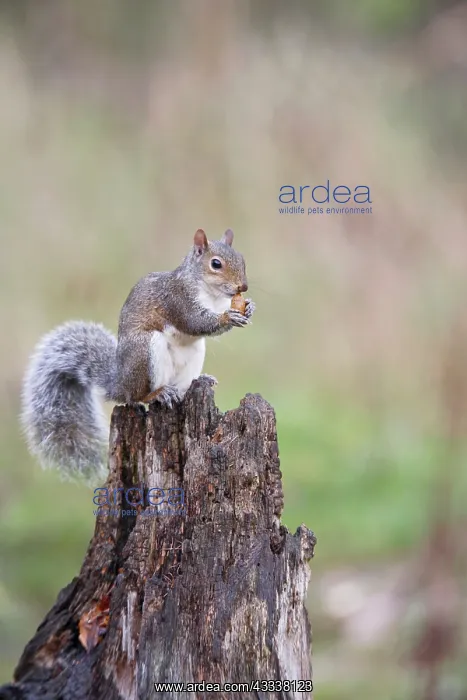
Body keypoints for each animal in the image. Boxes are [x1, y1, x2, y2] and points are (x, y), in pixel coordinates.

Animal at [21, 228, 255, 481]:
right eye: (216, 264)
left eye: (242, 259)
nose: (243, 287)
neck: (210, 292)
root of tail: (119, 384)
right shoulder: (178, 300)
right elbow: (196, 322)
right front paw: (228, 317)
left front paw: (248, 307)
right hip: (146, 351)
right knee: (136, 397)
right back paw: (157, 394)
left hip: (193, 355)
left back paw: (198, 381)